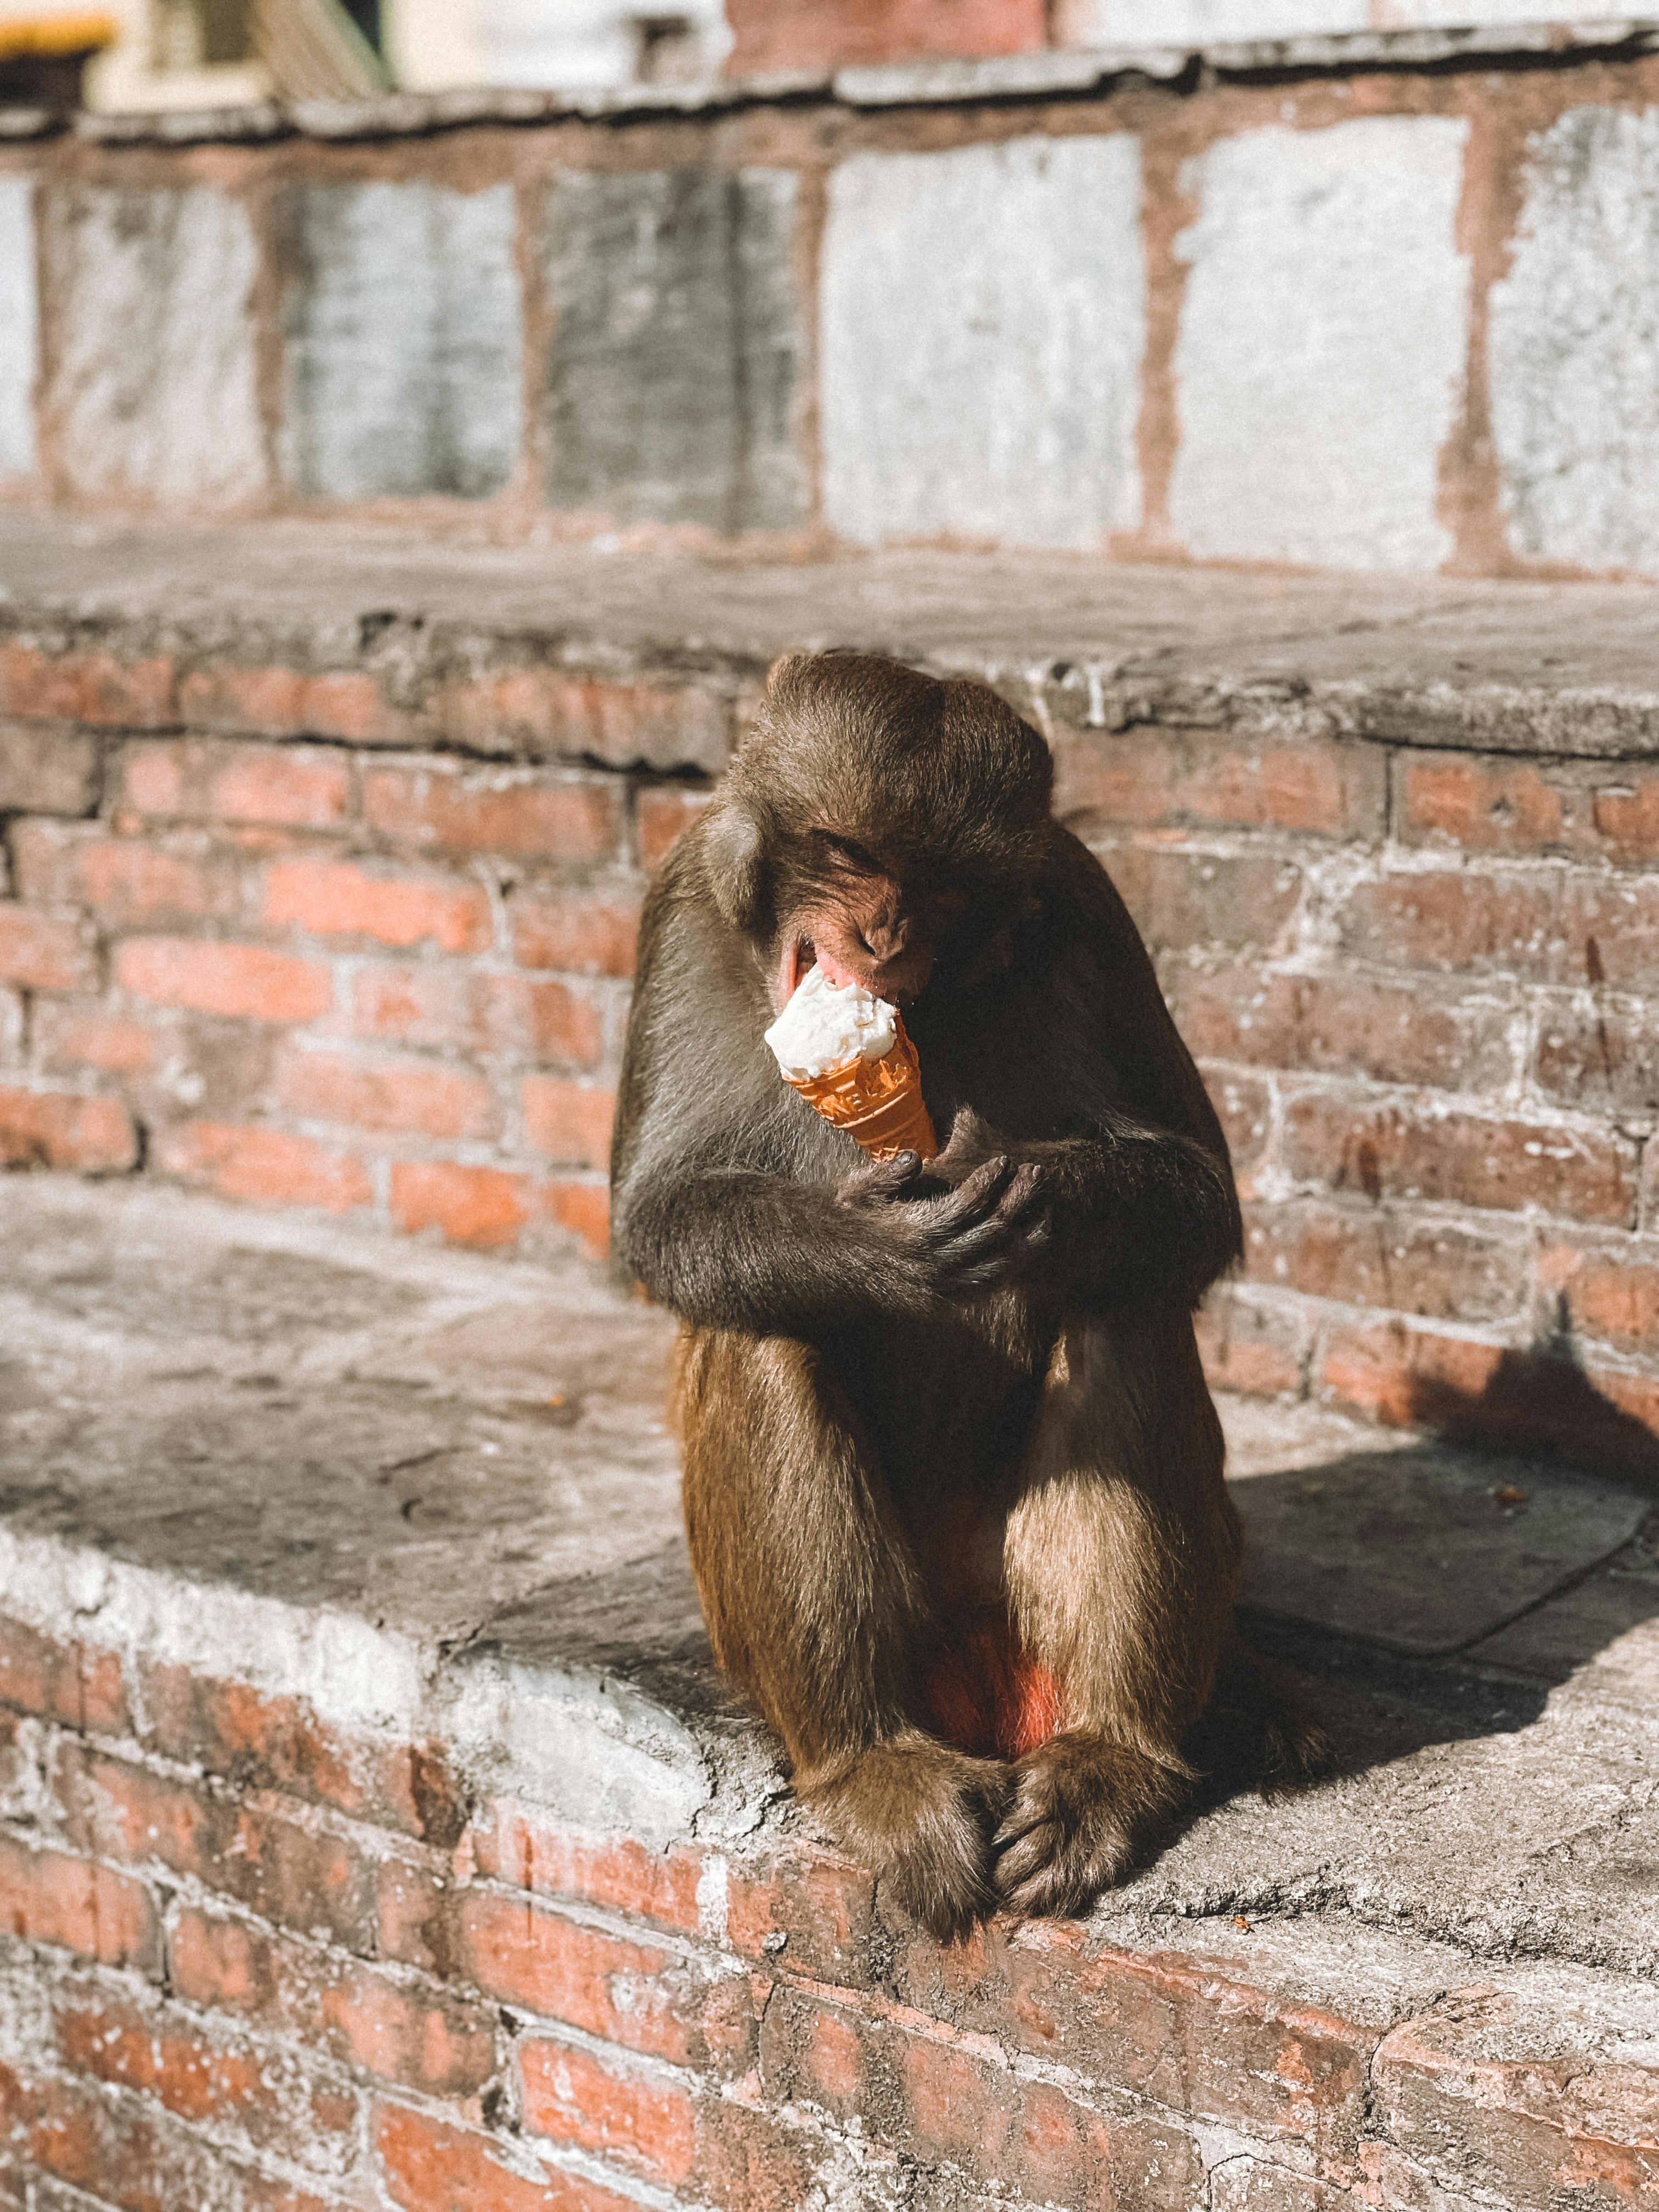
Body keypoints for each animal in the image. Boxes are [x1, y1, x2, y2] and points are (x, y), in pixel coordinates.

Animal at [609, 651, 1325, 1938]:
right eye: (847, 852)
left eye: (938, 885)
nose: (881, 929)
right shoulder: (682, 903)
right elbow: (659, 1210)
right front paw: (877, 1247)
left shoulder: (1086, 906)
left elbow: (1195, 1194)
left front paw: (1043, 1192)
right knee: (763, 1325)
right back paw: (871, 1760)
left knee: (1121, 1299)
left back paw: (1113, 1757)